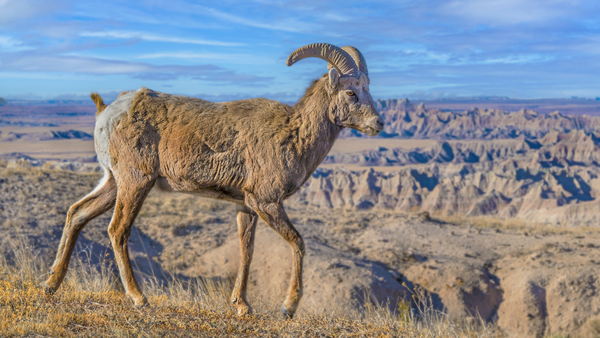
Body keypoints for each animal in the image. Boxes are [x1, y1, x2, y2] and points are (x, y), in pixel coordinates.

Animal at [47, 42, 384, 316]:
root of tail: (109, 112)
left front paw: (242, 306)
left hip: (113, 182)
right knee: (118, 230)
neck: (293, 135)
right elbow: (298, 243)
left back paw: (52, 284)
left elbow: (246, 251)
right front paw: (288, 308)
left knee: (77, 213)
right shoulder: (267, 203)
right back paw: (139, 299)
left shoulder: (247, 207)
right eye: (351, 92)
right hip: (135, 182)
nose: (378, 124)